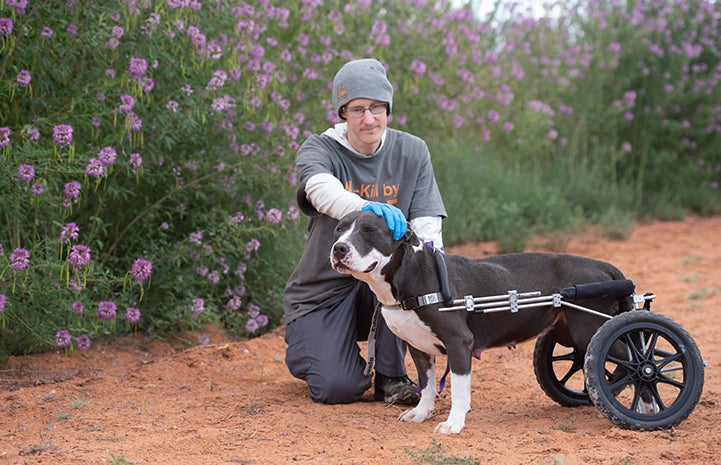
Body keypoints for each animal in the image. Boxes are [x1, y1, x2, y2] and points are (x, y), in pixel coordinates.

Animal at [330, 212, 632, 434]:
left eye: (369, 230)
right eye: (338, 229)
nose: (338, 248)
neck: (412, 277)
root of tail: (606, 267)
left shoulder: (459, 343)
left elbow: (459, 390)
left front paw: (453, 424)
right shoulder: (419, 349)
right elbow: (426, 386)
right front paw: (421, 413)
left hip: (590, 329)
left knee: (632, 356)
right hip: (570, 331)